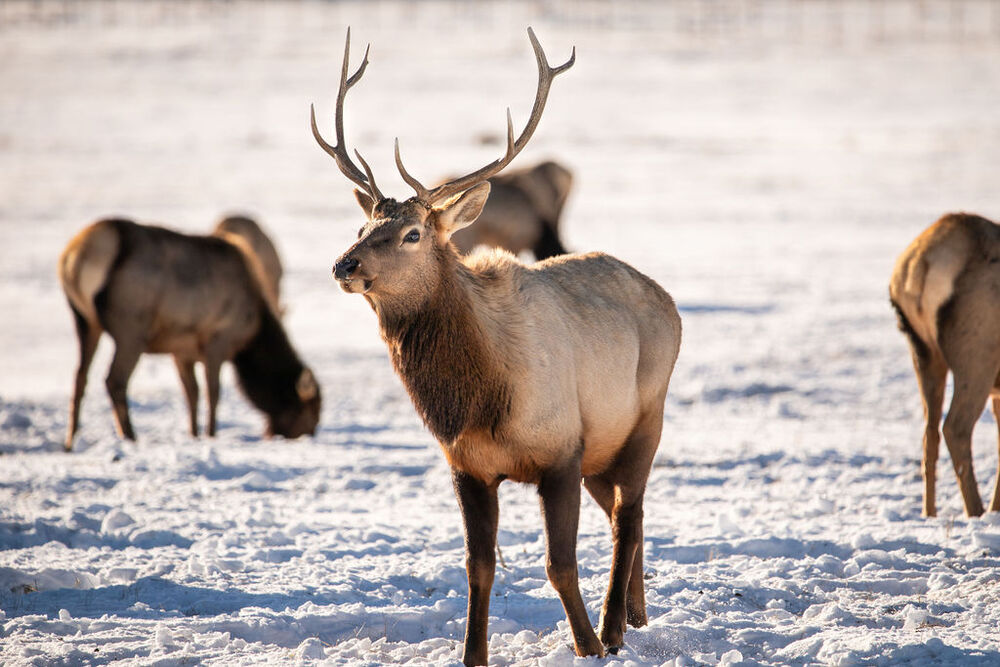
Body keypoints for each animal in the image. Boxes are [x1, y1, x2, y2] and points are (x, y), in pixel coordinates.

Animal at [59, 217, 321, 451]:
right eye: (309, 412)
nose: (308, 437)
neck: (252, 332)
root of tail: (76, 257)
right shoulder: (218, 339)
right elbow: (213, 393)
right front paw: (211, 434)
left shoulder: (182, 350)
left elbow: (191, 394)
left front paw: (194, 434)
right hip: (131, 327)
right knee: (115, 380)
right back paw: (130, 437)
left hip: (84, 321)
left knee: (80, 377)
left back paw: (70, 441)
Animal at [311, 28, 681, 664]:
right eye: (362, 228)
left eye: (412, 234)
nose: (345, 264)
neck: (477, 400)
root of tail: (668, 301)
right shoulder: (468, 466)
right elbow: (476, 568)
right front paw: (472, 654)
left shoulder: (560, 450)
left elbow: (559, 565)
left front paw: (586, 645)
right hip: (603, 449)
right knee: (625, 512)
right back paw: (635, 615)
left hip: (644, 420)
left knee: (627, 516)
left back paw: (613, 629)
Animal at [890, 212, 1000, 518]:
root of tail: (920, 264)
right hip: (978, 352)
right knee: (955, 427)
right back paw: (976, 512)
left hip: (923, 352)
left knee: (929, 432)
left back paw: (929, 513)